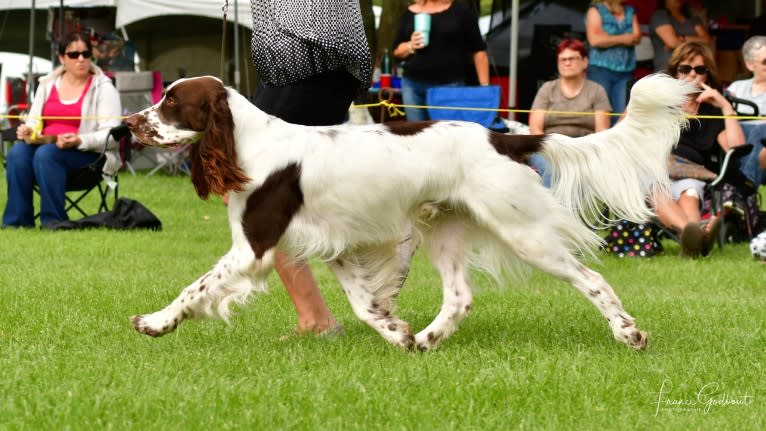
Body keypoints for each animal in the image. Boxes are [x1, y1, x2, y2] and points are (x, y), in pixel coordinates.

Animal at [124, 74, 696, 352]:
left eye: (172, 102)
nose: (128, 124)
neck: (247, 143)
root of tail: (502, 138)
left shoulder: (252, 246)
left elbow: (194, 289)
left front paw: (154, 322)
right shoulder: (333, 243)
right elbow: (364, 303)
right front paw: (397, 334)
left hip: (523, 230)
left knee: (592, 279)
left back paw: (630, 335)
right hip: (443, 229)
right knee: (460, 296)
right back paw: (426, 339)